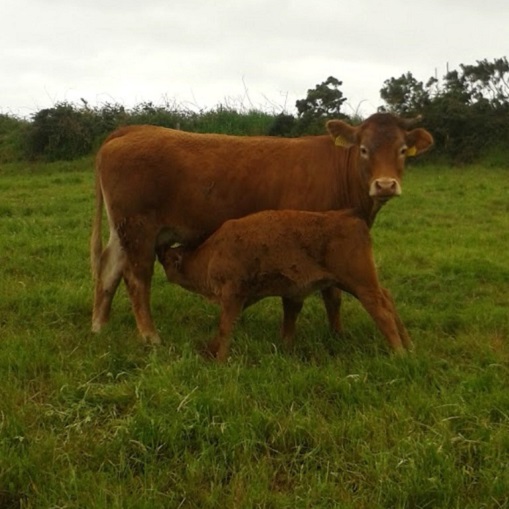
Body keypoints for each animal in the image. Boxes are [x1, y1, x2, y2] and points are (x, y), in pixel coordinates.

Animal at [89, 113, 430, 344]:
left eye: (402, 150)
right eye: (363, 149)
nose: (385, 184)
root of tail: (134, 129)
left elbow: (333, 296)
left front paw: (337, 335)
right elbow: (312, 296)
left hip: (123, 231)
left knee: (110, 269)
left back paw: (99, 326)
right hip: (139, 231)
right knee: (137, 278)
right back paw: (150, 337)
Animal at [157, 208, 410, 360]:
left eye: (168, 259)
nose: (158, 253)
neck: (211, 253)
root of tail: (351, 218)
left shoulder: (232, 293)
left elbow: (225, 326)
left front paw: (220, 359)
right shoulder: (245, 297)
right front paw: (209, 350)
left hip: (359, 283)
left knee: (381, 310)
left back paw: (398, 353)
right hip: (358, 282)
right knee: (388, 298)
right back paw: (409, 345)